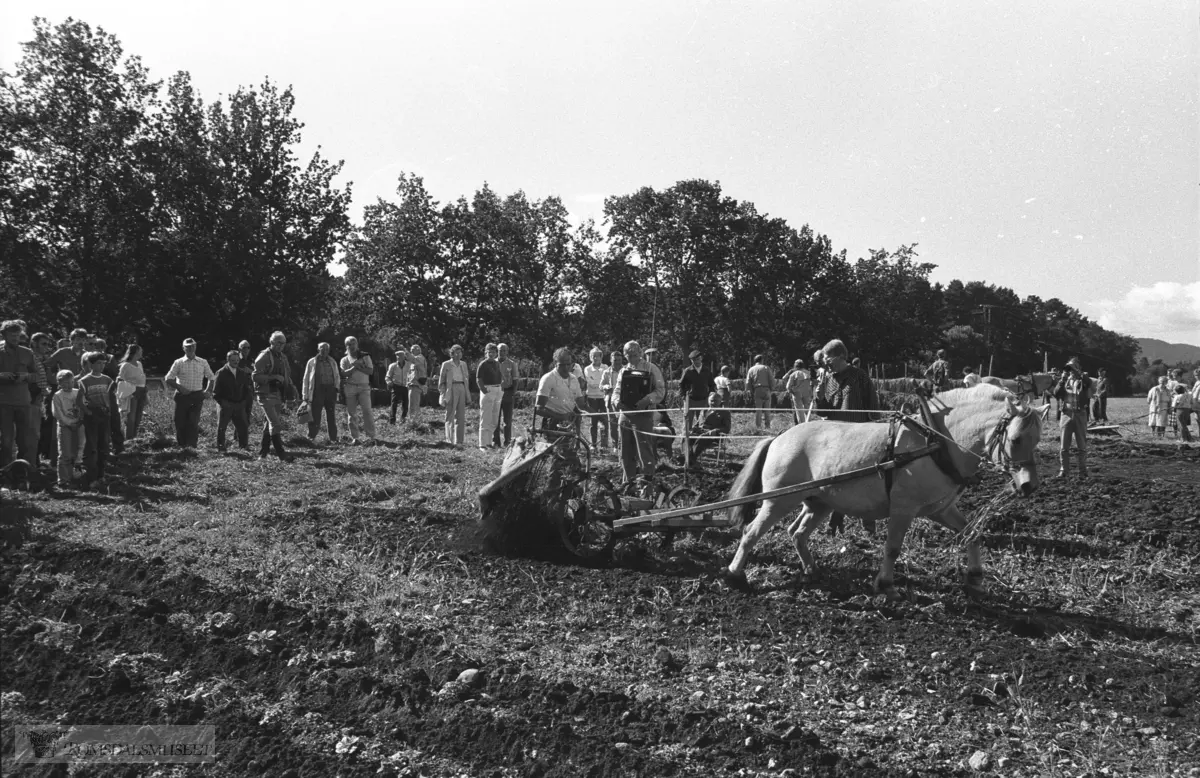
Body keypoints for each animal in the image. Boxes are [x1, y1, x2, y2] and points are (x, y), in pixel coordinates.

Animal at [720, 386, 1051, 597]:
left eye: (1037, 439)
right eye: (1016, 438)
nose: (1029, 485)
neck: (937, 442)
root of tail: (779, 436)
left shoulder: (940, 508)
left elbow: (971, 533)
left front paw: (976, 578)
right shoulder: (903, 508)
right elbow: (892, 547)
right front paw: (886, 585)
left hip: (819, 502)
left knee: (797, 533)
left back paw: (811, 569)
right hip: (778, 499)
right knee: (751, 532)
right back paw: (735, 575)